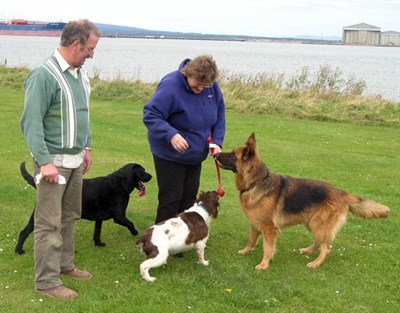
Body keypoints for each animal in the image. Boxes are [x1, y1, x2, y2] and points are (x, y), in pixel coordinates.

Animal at [216, 132, 390, 268]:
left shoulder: (268, 228)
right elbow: (251, 240)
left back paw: (316, 263)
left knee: (327, 248)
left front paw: (264, 264)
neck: (256, 182)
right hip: (312, 222)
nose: (216, 154)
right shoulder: (255, 224)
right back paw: (307, 251)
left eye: (233, 154)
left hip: (318, 224)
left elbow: (268, 248)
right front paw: (245, 251)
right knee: (320, 242)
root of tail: (343, 193)